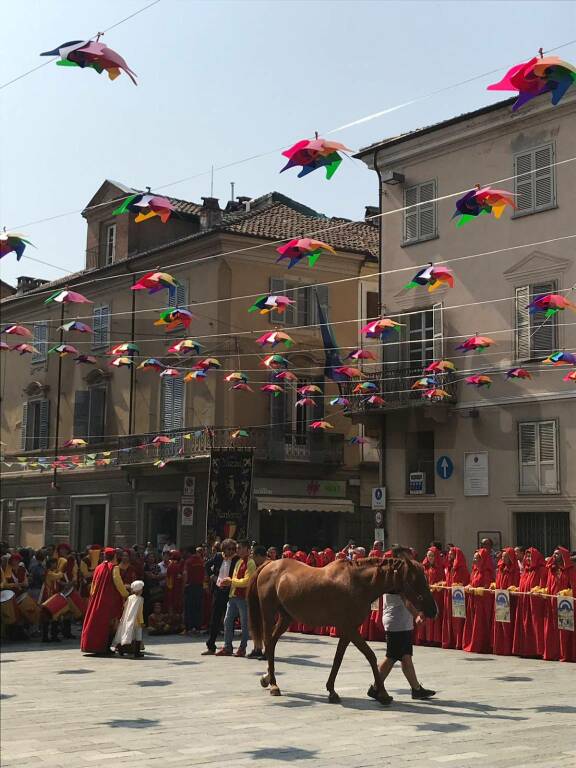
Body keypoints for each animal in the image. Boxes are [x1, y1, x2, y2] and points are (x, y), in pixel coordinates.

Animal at [248, 556, 436, 704]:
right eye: (416, 580)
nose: (434, 611)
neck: (357, 584)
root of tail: (270, 565)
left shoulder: (347, 630)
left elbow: (338, 658)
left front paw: (331, 690)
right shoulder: (350, 629)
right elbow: (370, 655)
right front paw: (383, 694)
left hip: (286, 617)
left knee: (272, 643)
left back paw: (267, 679)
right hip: (268, 614)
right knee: (268, 642)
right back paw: (274, 684)